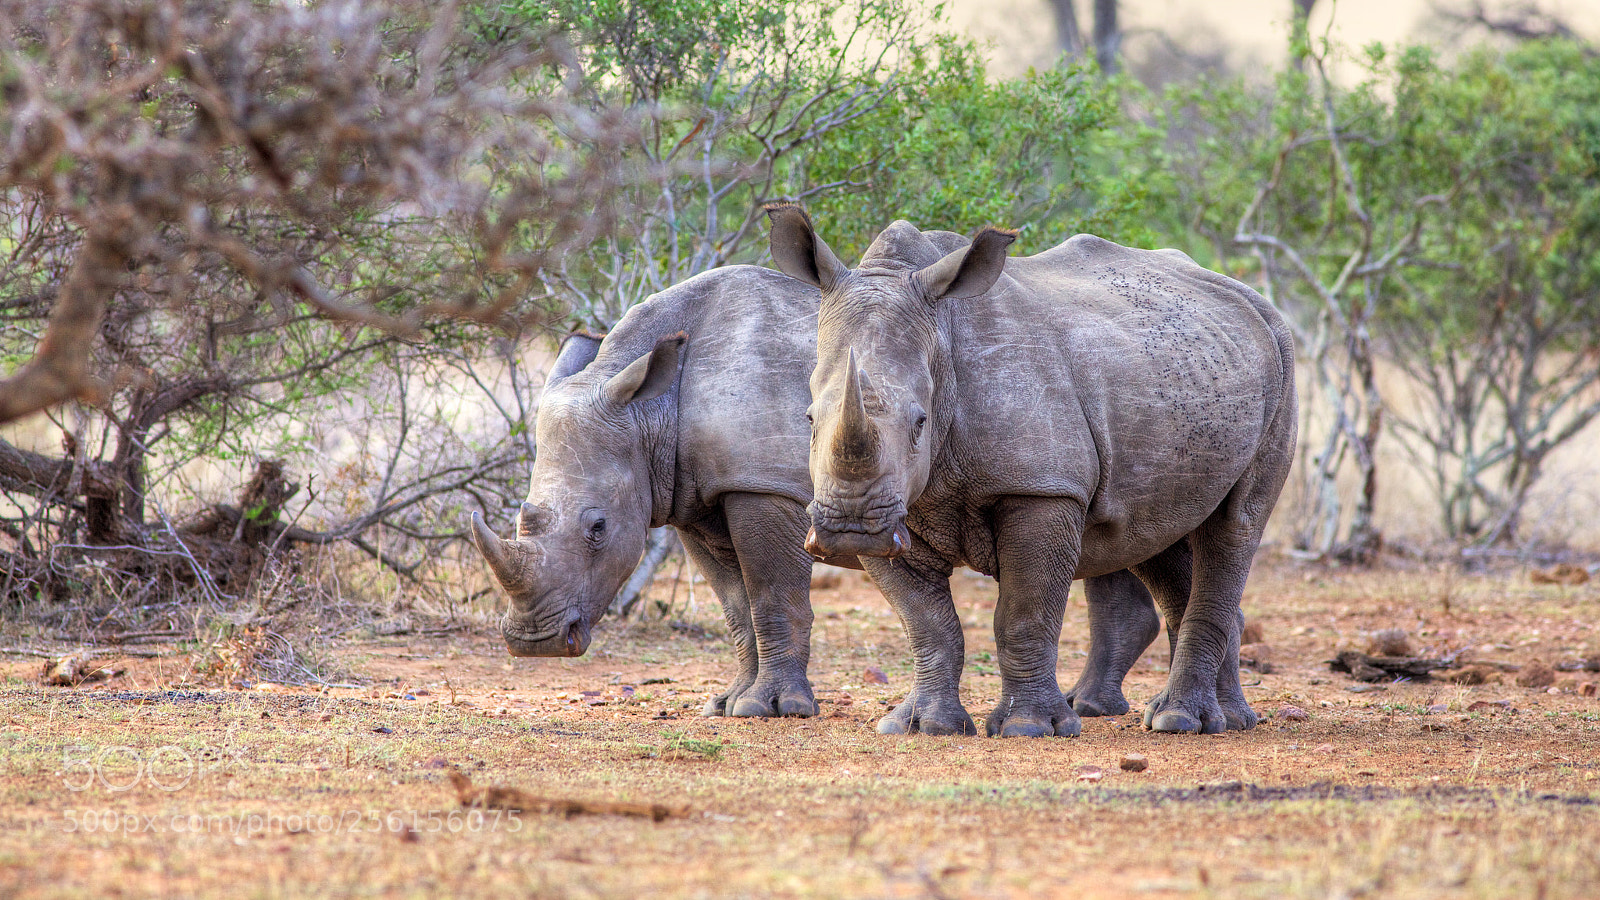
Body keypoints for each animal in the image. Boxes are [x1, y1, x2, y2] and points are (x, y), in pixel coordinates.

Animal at [468, 260, 1173, 720]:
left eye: (598, 530)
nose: (533, 645)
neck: (649, 411)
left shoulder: (761, 489)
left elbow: (773, 596)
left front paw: (773, 709)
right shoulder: (693, 496)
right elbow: (736, 607)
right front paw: (728, 703)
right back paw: (1094, 707)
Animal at [767, 206, 1296, 736]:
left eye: (920, 422)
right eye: (809, 418)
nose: (851, 528)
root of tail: (1255, 302)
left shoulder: (1043, 488)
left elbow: (1024, 614)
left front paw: (1029, 727)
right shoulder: (899, 508)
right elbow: (927, 622)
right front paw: (922, 725)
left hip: (1281, 360)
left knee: (1235, 525)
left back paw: (1180, 720)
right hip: (1187, 373)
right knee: (1154, 529)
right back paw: (1224, 718)